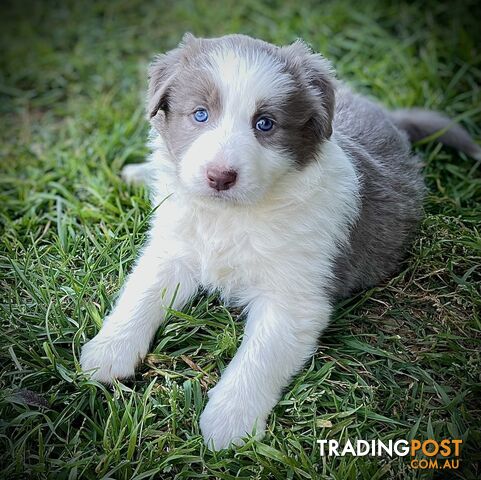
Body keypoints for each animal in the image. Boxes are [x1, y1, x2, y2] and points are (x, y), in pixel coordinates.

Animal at [79, 33, 480, 450]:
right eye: (200, 115)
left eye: (265, 124)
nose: (220, 177)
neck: (233, 215)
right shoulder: (173, 246)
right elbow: (141, 293)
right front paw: (108, 351)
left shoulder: (294, 297)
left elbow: (260, 356)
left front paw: (229, 423)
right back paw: (139, 173)